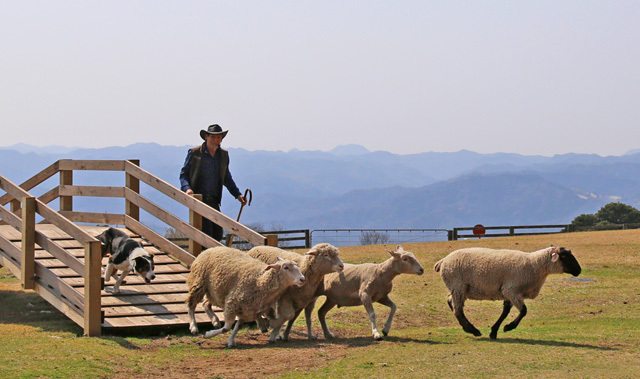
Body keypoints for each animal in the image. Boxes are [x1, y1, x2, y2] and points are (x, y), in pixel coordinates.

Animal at [436, 248, 580, 340]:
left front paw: (494, 332)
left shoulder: (509, 293)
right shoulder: (511, 290)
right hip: (458, 286)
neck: (534, 265)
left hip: (459, 289)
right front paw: (508, 327)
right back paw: (473, 330)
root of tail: (443, 261)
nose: (579, 270)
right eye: (565, 256)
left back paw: (467, 328)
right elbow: (524, 311)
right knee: (458, 310)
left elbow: (505, 313)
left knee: (450, 301)